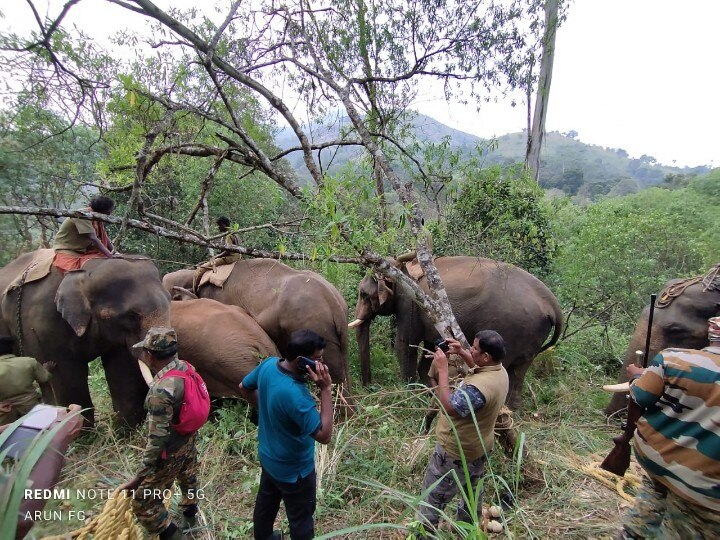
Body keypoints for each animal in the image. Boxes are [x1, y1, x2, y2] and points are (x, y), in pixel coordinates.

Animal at [0, 251, 170, 428]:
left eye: (170, 301)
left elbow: (123, 369)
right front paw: (79, 429)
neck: (85, 270)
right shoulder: (42, 325)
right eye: (131, 316)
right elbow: (66, 375)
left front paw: (127, 429)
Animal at [348, 258, 564, 410]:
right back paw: (513, 410)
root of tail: (553, 304)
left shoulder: (410, 305)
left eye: (363, 294)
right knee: (519, 372)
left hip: (514, 328)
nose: (368, 386)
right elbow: (429, 351)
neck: (399, 267)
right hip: (532, 335)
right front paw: (429, 391)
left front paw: (410, 392)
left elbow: (405, 345)